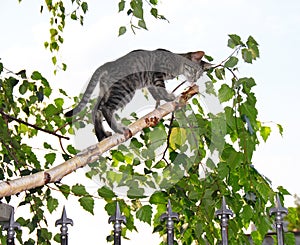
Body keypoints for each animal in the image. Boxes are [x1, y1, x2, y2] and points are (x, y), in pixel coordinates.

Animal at [64, 48, 212, 141]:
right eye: (196, 71)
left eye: (200, 75)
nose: (195, 80)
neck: (178, 60)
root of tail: (109, 63)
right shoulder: (157, 73)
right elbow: (161, 88)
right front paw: (168, 97)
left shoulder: (151, 82)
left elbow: (156, 92)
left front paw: (160, 99)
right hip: (125, 90)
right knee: (106, 108)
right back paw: (118, 129)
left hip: (107, 91)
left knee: (96, 110)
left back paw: (102, 135)